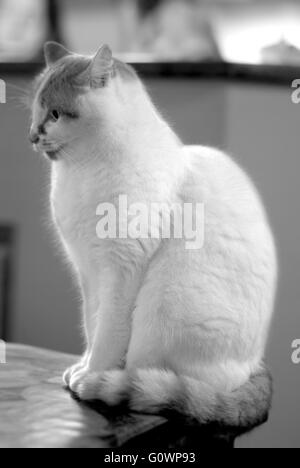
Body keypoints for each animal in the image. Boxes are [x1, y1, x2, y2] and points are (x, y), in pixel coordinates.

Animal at [29, 42, 278, 430]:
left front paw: (93, 375)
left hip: (165, 305)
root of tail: (253, 370)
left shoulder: (120, 272)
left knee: (166, 380)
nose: (32, 135)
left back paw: (117, 383)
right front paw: (83, 367)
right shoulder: (89, 274)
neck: (81, 172)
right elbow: (91, 327)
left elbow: (107, 336)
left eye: (55, 114)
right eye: (36, 111)